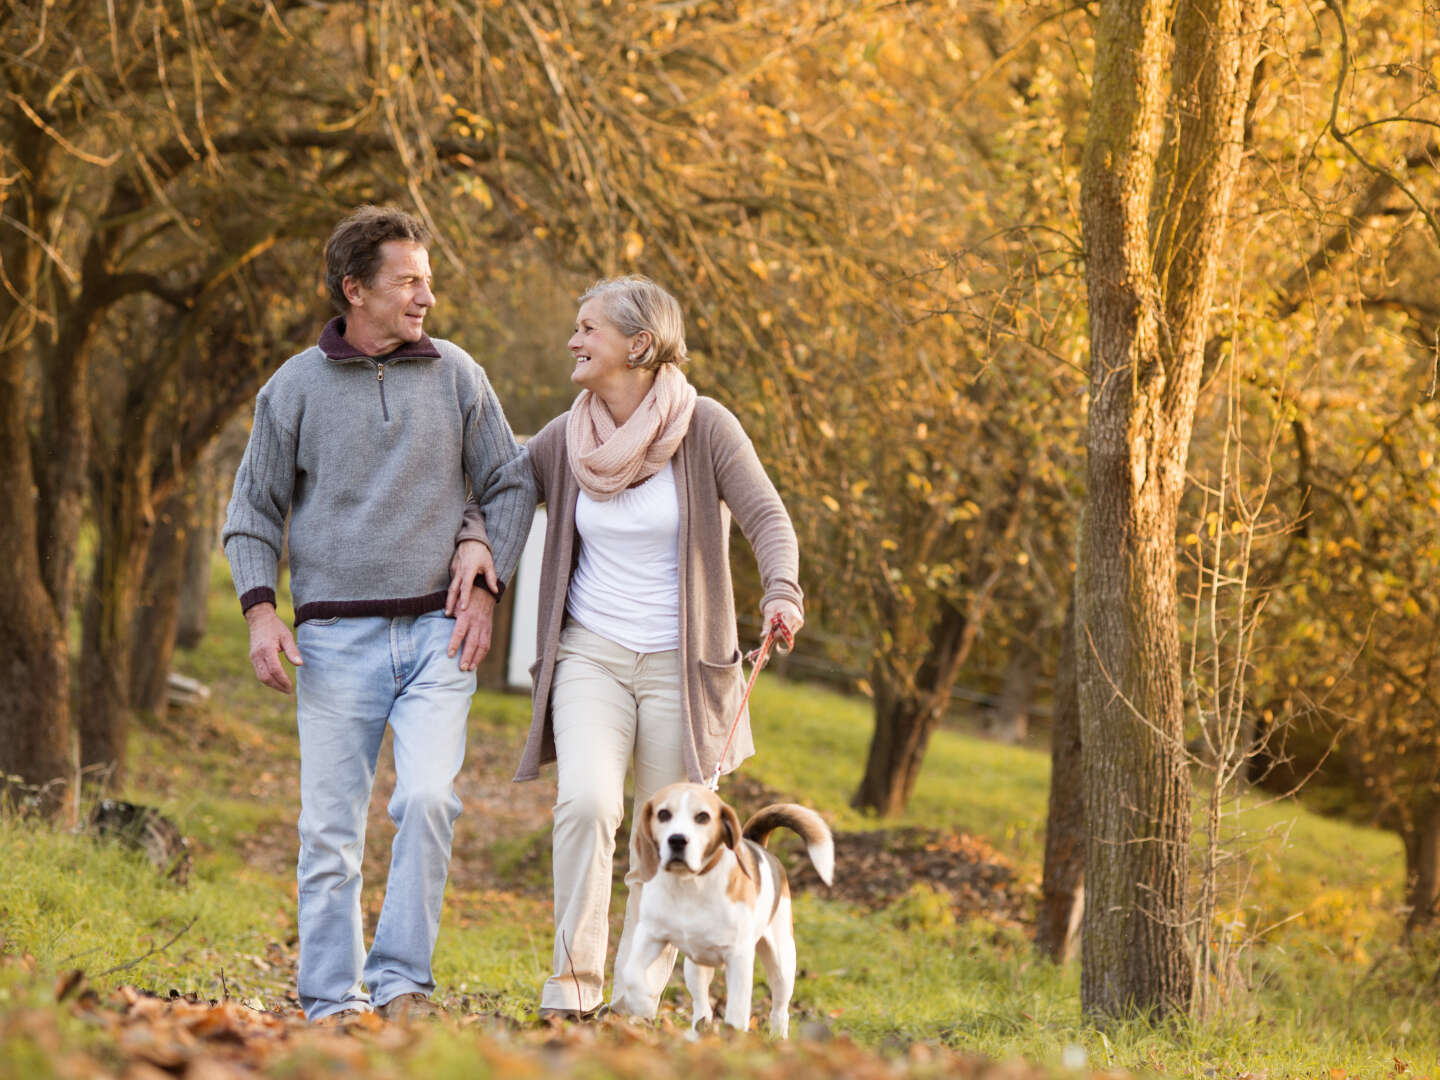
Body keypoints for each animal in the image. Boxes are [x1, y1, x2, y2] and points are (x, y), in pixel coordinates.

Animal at [619, 789, 835, 1042]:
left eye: (703, 817)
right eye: (663, 814)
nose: (677, 840)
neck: (689, 885)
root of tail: (758, 845)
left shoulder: (739, 957)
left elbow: (737, 1011)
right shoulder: (650, 935)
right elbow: (630, 972)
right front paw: (642, 1004)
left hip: (783, 962)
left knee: (780, 1009)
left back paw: (778, 1039)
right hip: (695, 967)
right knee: (702, 1005)